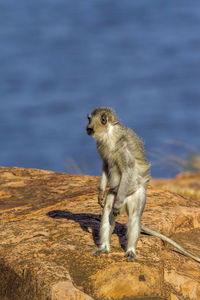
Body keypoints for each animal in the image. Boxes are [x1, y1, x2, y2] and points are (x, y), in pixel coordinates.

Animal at [85, 106, 200, 262]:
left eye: (91, 121)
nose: (87, 128)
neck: (109, 134)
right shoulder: (101, 146)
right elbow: (105, 165)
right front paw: (101, 192)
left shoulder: (122, 147)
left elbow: (128, 169)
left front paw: (116, 204)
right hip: (114, 193)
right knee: (107, 211)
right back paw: (104, 248)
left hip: (136, 194)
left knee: (133, 217)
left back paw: (130, 250)